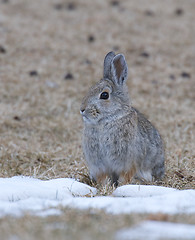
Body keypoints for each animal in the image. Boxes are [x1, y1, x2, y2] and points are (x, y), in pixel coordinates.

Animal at [80, 51, 165, 187]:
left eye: (104, 95)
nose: (82, 109)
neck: (108, 119)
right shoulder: (99, 165)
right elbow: (103, 178)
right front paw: (104, 187)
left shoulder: (128, 163)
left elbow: (125, 177)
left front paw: (120, 187)